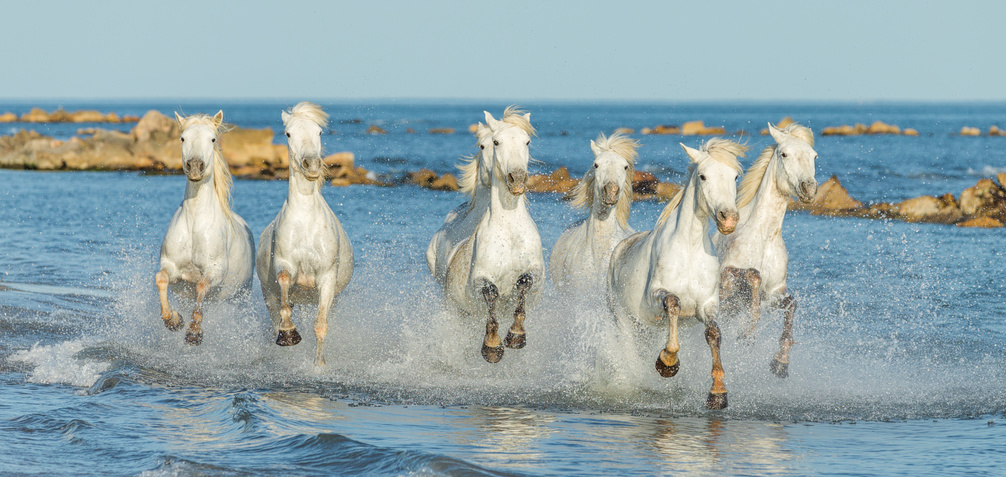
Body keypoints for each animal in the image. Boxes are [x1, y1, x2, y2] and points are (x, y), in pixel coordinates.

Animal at [155, 111, 255, 346]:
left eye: (213, 139)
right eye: (183, 138)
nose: (194, 166)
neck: (194, 223)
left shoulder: (214, 269)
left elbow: (201, 286)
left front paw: (194, 332)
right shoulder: (172, 266)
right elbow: (161, 279)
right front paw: (173, 320)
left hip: (237, 298)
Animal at [256, 102, 354, 367]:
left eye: (319, 132)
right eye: (288, 134)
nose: (311, 165)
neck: (306, 221)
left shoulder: (327, 279)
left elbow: (320, 324)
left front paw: (319, 366)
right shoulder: (285, 265)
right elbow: (285, 293)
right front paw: (289, 333)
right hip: (268, 295)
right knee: (274, 317)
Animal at [436, 106, 544, 363]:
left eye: (527, 141)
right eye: (495, 142)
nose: (517, 178)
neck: (510, 231)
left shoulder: (536, 273)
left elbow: (523, 283)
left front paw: (515, 335)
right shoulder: (479, 280)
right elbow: (492, 293)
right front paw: (492, 347)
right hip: (456, 310)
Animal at [607, 138, 746, 410]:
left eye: (735, 176)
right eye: (703, 176)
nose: (728, 219)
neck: (690, 249)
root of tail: (619, 249)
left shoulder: (707, 304)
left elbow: (714, 334)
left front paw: (717, 393)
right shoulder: (656, 294)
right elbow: (673, 302)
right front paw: (667, 363)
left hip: (647, 328)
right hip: (623, 319)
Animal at [714, 122, 818, 378]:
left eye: (814, 156)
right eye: (784, 154)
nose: (809, 189)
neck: (762, 237)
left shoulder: (774, 293)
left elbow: (791, 304)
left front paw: (780, 363)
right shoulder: (726, 282)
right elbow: (753, 275)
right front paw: (747, 334)